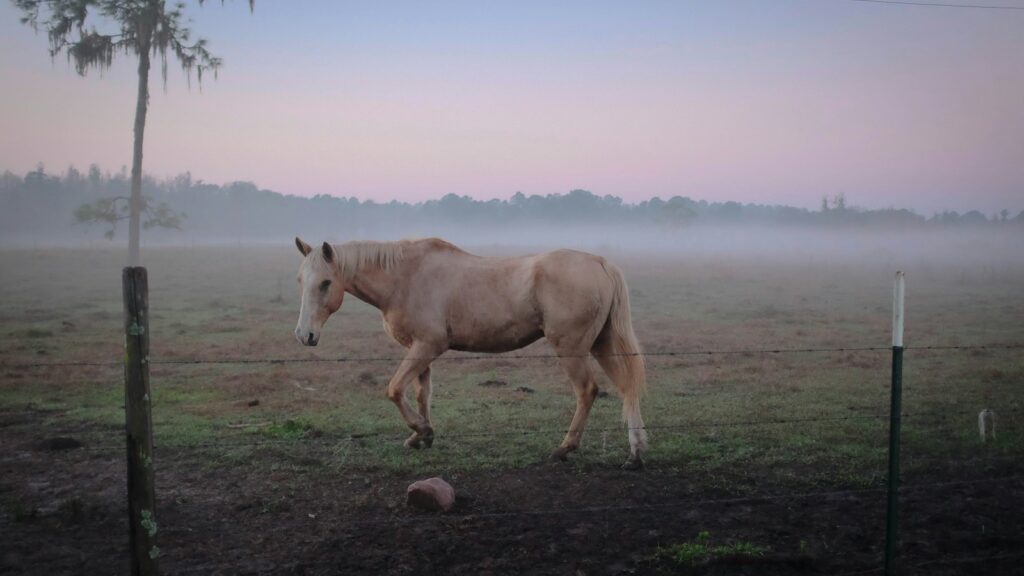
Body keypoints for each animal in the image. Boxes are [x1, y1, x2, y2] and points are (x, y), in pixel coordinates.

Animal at [293, 237, 649, 469]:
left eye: (325, 283)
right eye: (300, 280)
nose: (304, 335)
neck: (406, 278)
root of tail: (600, 262)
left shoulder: (428, 346)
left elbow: (394, 390)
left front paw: (421, 431)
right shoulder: (420, 350)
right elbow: (421, 395)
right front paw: (421, 436)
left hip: (572, 349)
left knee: (587, 391)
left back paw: (565, 448)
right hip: (601, 344)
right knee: (627, 388)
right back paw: (634, 454)